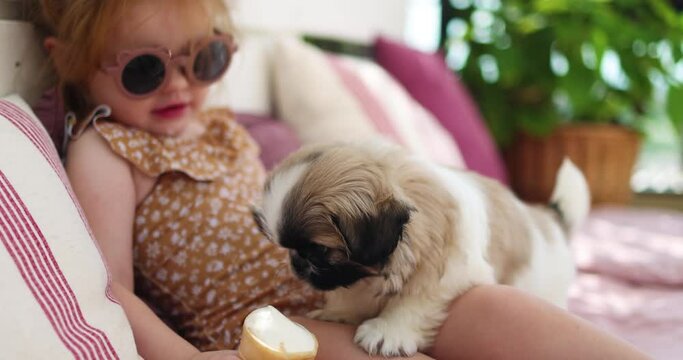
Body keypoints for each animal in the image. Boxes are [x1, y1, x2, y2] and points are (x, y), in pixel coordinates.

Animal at [254, 141, 592, 358]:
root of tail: (552, 219)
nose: (297, 263)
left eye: (318, 251)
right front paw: (339, 313)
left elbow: (414, 300)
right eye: (292, 249)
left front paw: (388, 332)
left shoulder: (447, 269)